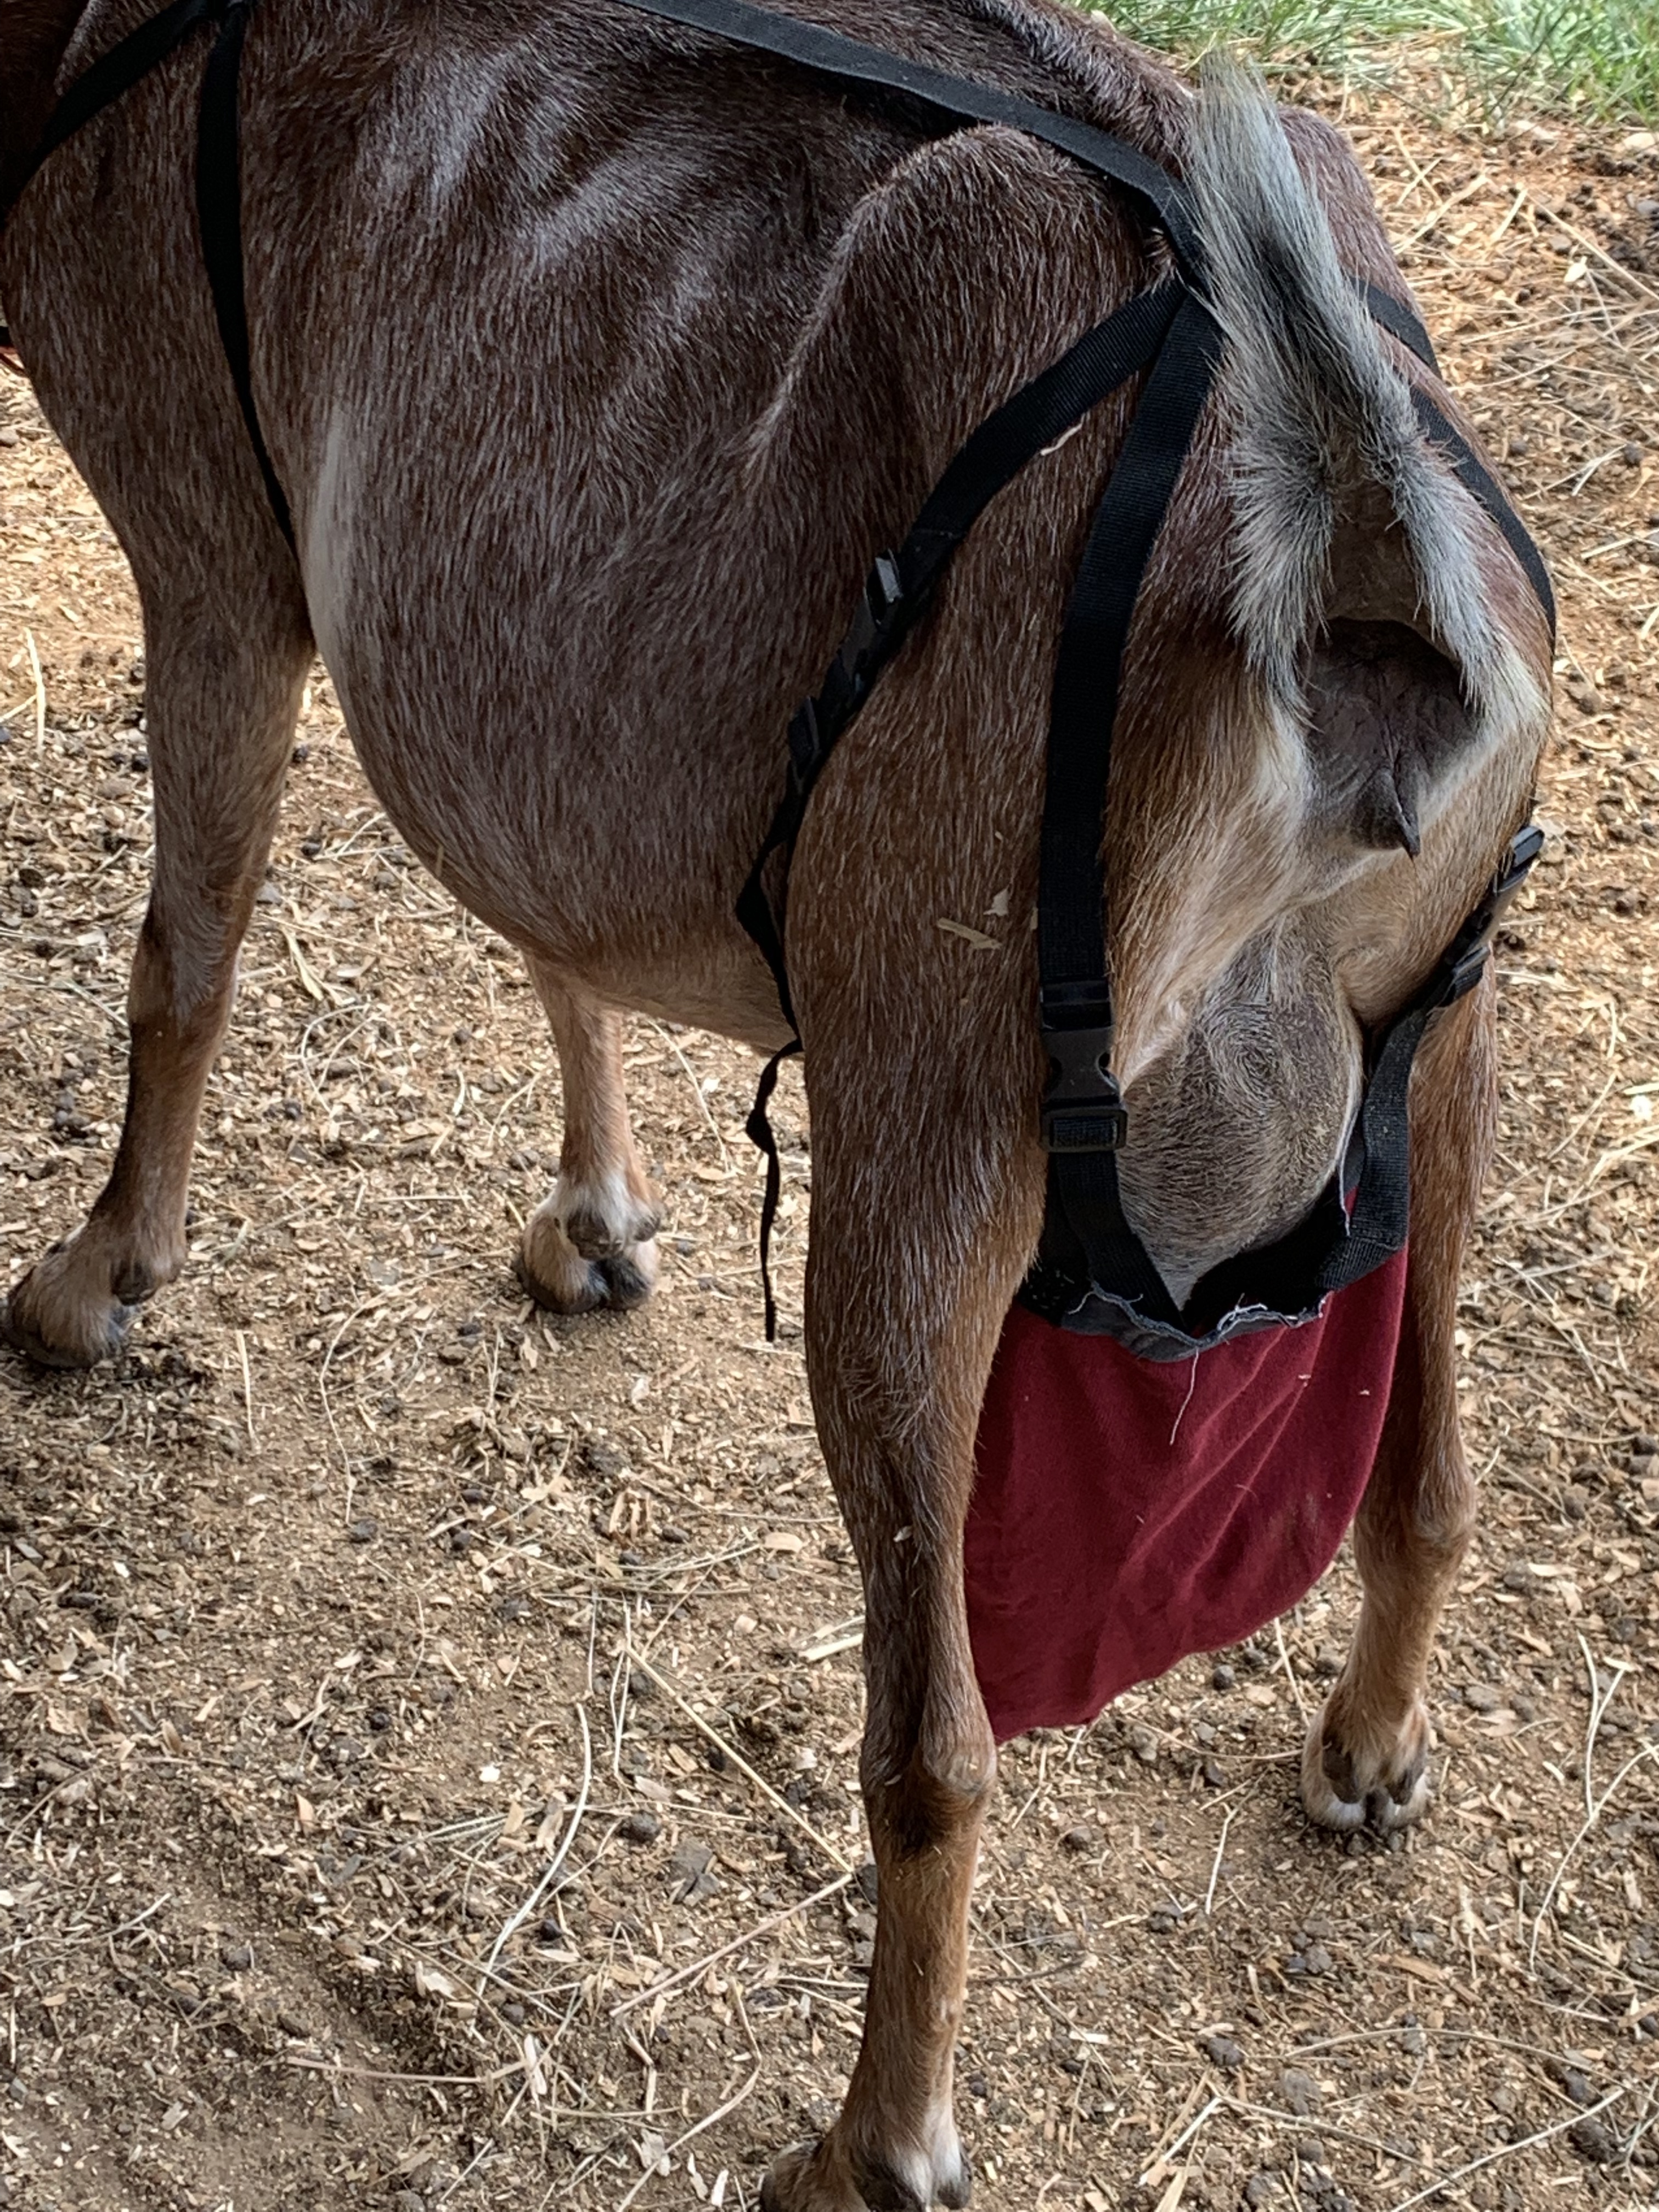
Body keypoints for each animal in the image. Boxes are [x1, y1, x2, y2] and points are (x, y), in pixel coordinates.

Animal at [0, 2, 1550, 2204]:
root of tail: (1341, 580)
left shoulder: (213, 537)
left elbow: (184, 954)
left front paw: (94, 1282)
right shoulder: (508, 677)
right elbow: (541, 920)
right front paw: (594, 1223)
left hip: (940, 1091)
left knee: (937, 1741)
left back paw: (870, 2140)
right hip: (1445, 1015)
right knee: (1426, 1453)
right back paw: (1368, 1751)